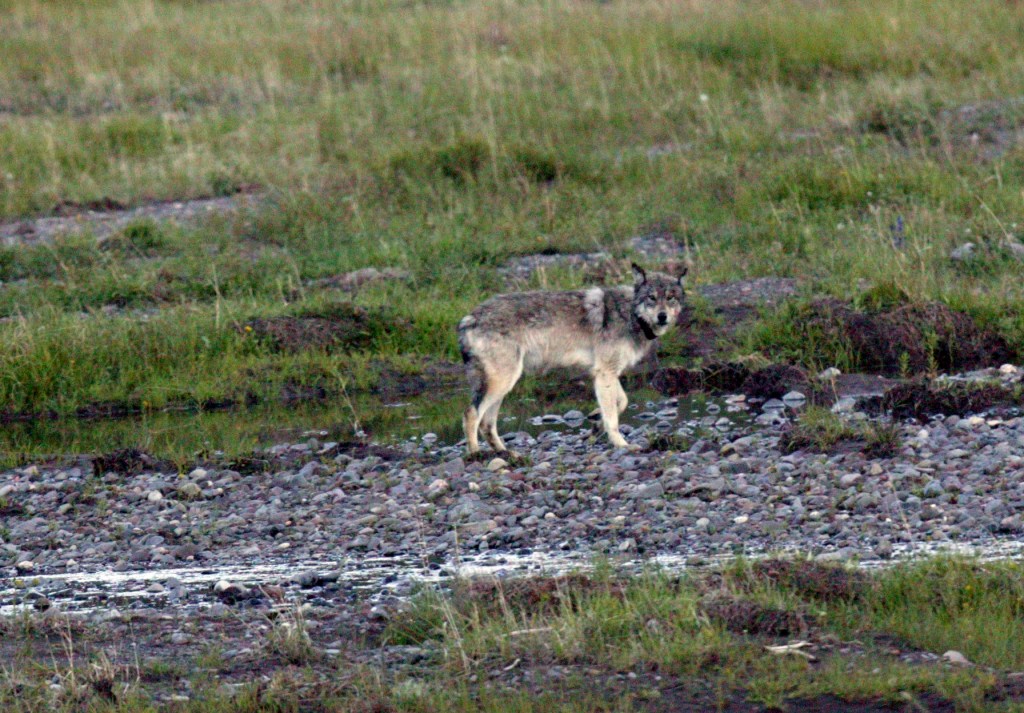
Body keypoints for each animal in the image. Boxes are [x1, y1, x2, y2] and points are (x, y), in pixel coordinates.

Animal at [457, 263, 687, 453]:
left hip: (503, 386)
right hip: (503, 381)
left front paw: (595, 427)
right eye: (652, 298)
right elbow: (613, 417)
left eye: (670, 297)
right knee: (471, 414)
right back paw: (476, 455)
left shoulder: (606, 374)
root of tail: (469, 318)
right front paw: (622, 444)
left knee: (486, 423)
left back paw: (505, 453)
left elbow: (621, 402)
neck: (630, 314)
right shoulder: (605, 373)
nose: (663, 316)